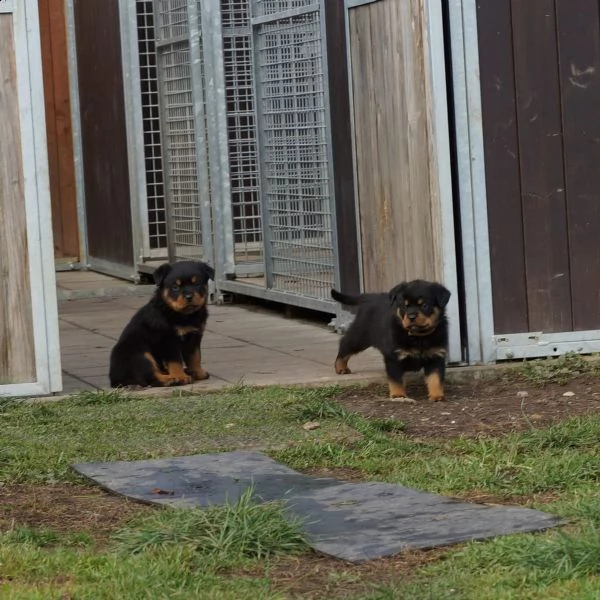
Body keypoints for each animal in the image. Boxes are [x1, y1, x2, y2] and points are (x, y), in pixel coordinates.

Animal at [109, 262, 214, 390]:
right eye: (175, 287)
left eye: (197, 284)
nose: (189, 297)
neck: (183, 315)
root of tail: (114, 380)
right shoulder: (167, 340)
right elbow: (175, 361)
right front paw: (180, 376)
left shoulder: (194, 336)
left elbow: (195, 357)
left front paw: (199, 373)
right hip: (140, 353)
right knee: (149, 376)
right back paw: (170, 379)